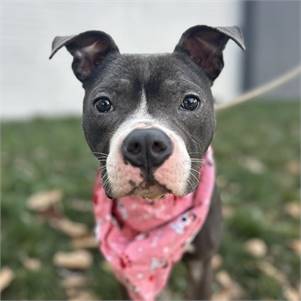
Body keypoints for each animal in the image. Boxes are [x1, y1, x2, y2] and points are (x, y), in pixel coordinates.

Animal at [49, 24, 244, 298]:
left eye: (190, 101)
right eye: (103, 104)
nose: (145, 143)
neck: (153, 209)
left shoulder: (201, 265)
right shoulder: (123, 275)